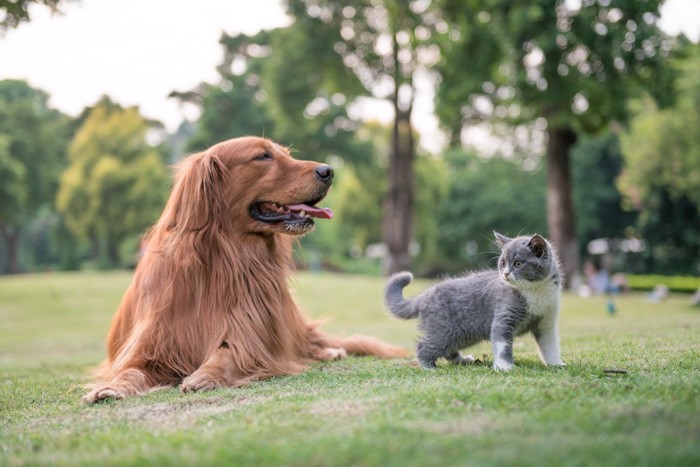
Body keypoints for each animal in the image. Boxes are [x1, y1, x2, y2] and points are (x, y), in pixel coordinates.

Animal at [386, 232, 568, 372]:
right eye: (503, 263)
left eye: (518, 264)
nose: (506, 274)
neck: (534, 291)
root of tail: (425, 295)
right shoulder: (503, 317)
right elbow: (502, 344)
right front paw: (504, 367)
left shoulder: (546, 321)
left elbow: (550, 344)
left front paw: (557, 364)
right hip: (444, 330)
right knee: (423, 345)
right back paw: (428, 367)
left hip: (462, 334)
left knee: (448, 350)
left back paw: (462, 360)